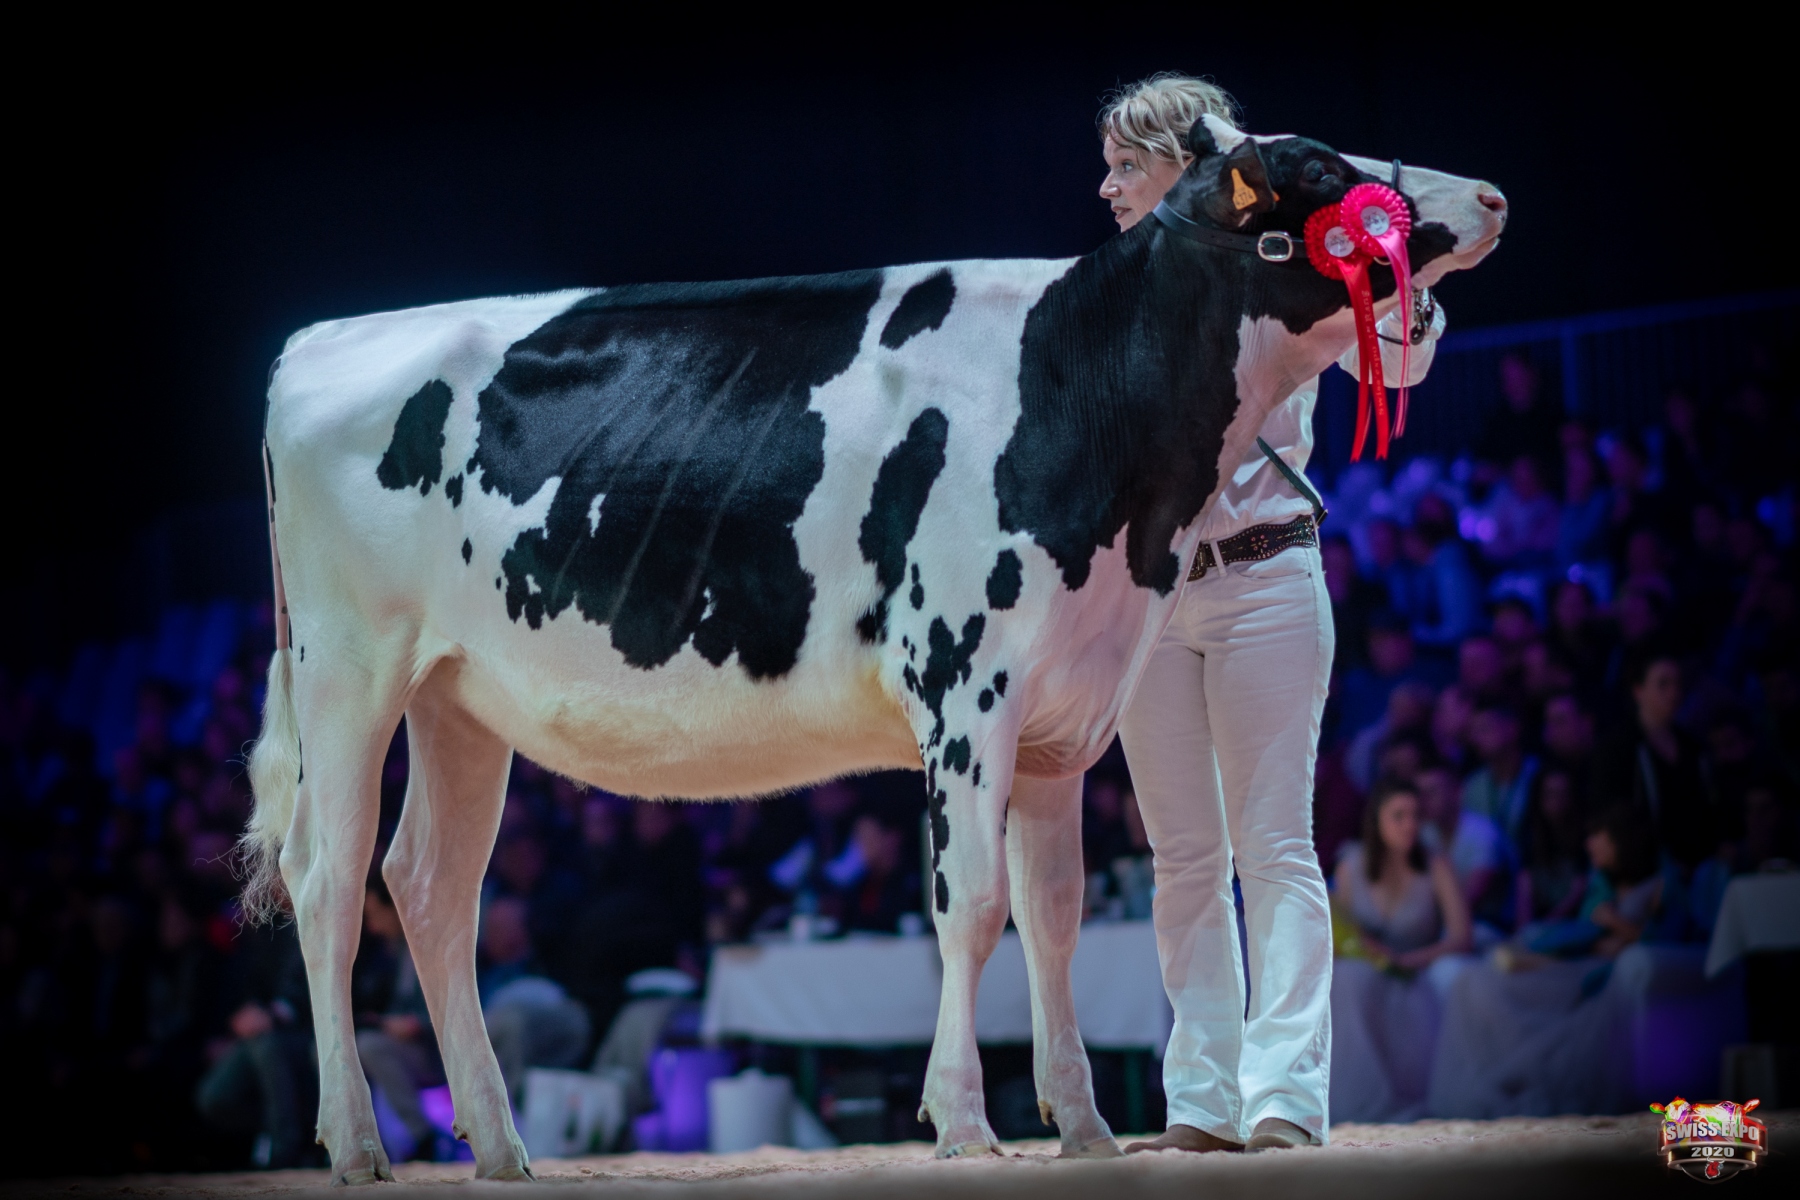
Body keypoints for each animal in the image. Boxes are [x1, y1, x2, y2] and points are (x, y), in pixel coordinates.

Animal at [244, 113, 1504, 1182]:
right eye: (1325, 169)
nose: (1491, 192)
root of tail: (315, 340)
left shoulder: (1063, 713)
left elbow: (1054, 912)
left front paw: (1085, 1125)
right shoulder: (966, 687)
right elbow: (973, 905)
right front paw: (964, 1121)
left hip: (457, 695)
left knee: (431, 886)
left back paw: (500, 1145)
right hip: (349, 670)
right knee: (331, 879)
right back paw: (357, 1142)